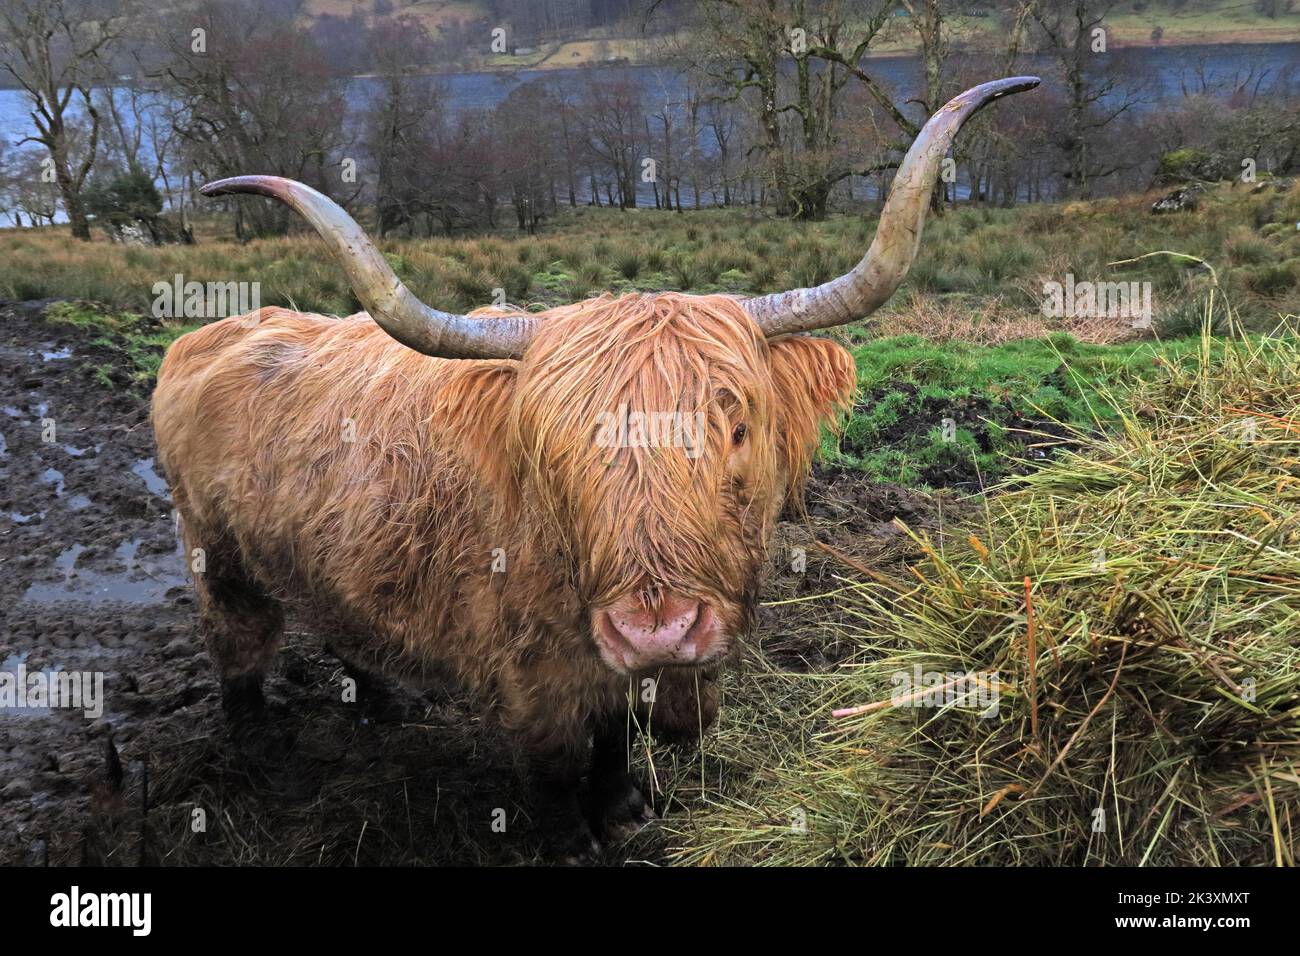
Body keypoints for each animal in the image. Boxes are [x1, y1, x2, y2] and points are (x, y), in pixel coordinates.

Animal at [152, 72, 1040, 853]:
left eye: (737, 427)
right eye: (558, 447)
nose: (660, 627)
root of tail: (216, 329)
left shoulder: (606, 666)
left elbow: (613, 733)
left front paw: (624, 812)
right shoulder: (529, 677)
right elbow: (551, 765)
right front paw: (572, 841)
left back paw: (380, 702)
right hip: (217, 556)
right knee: (238, 654)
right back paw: (260, 762)